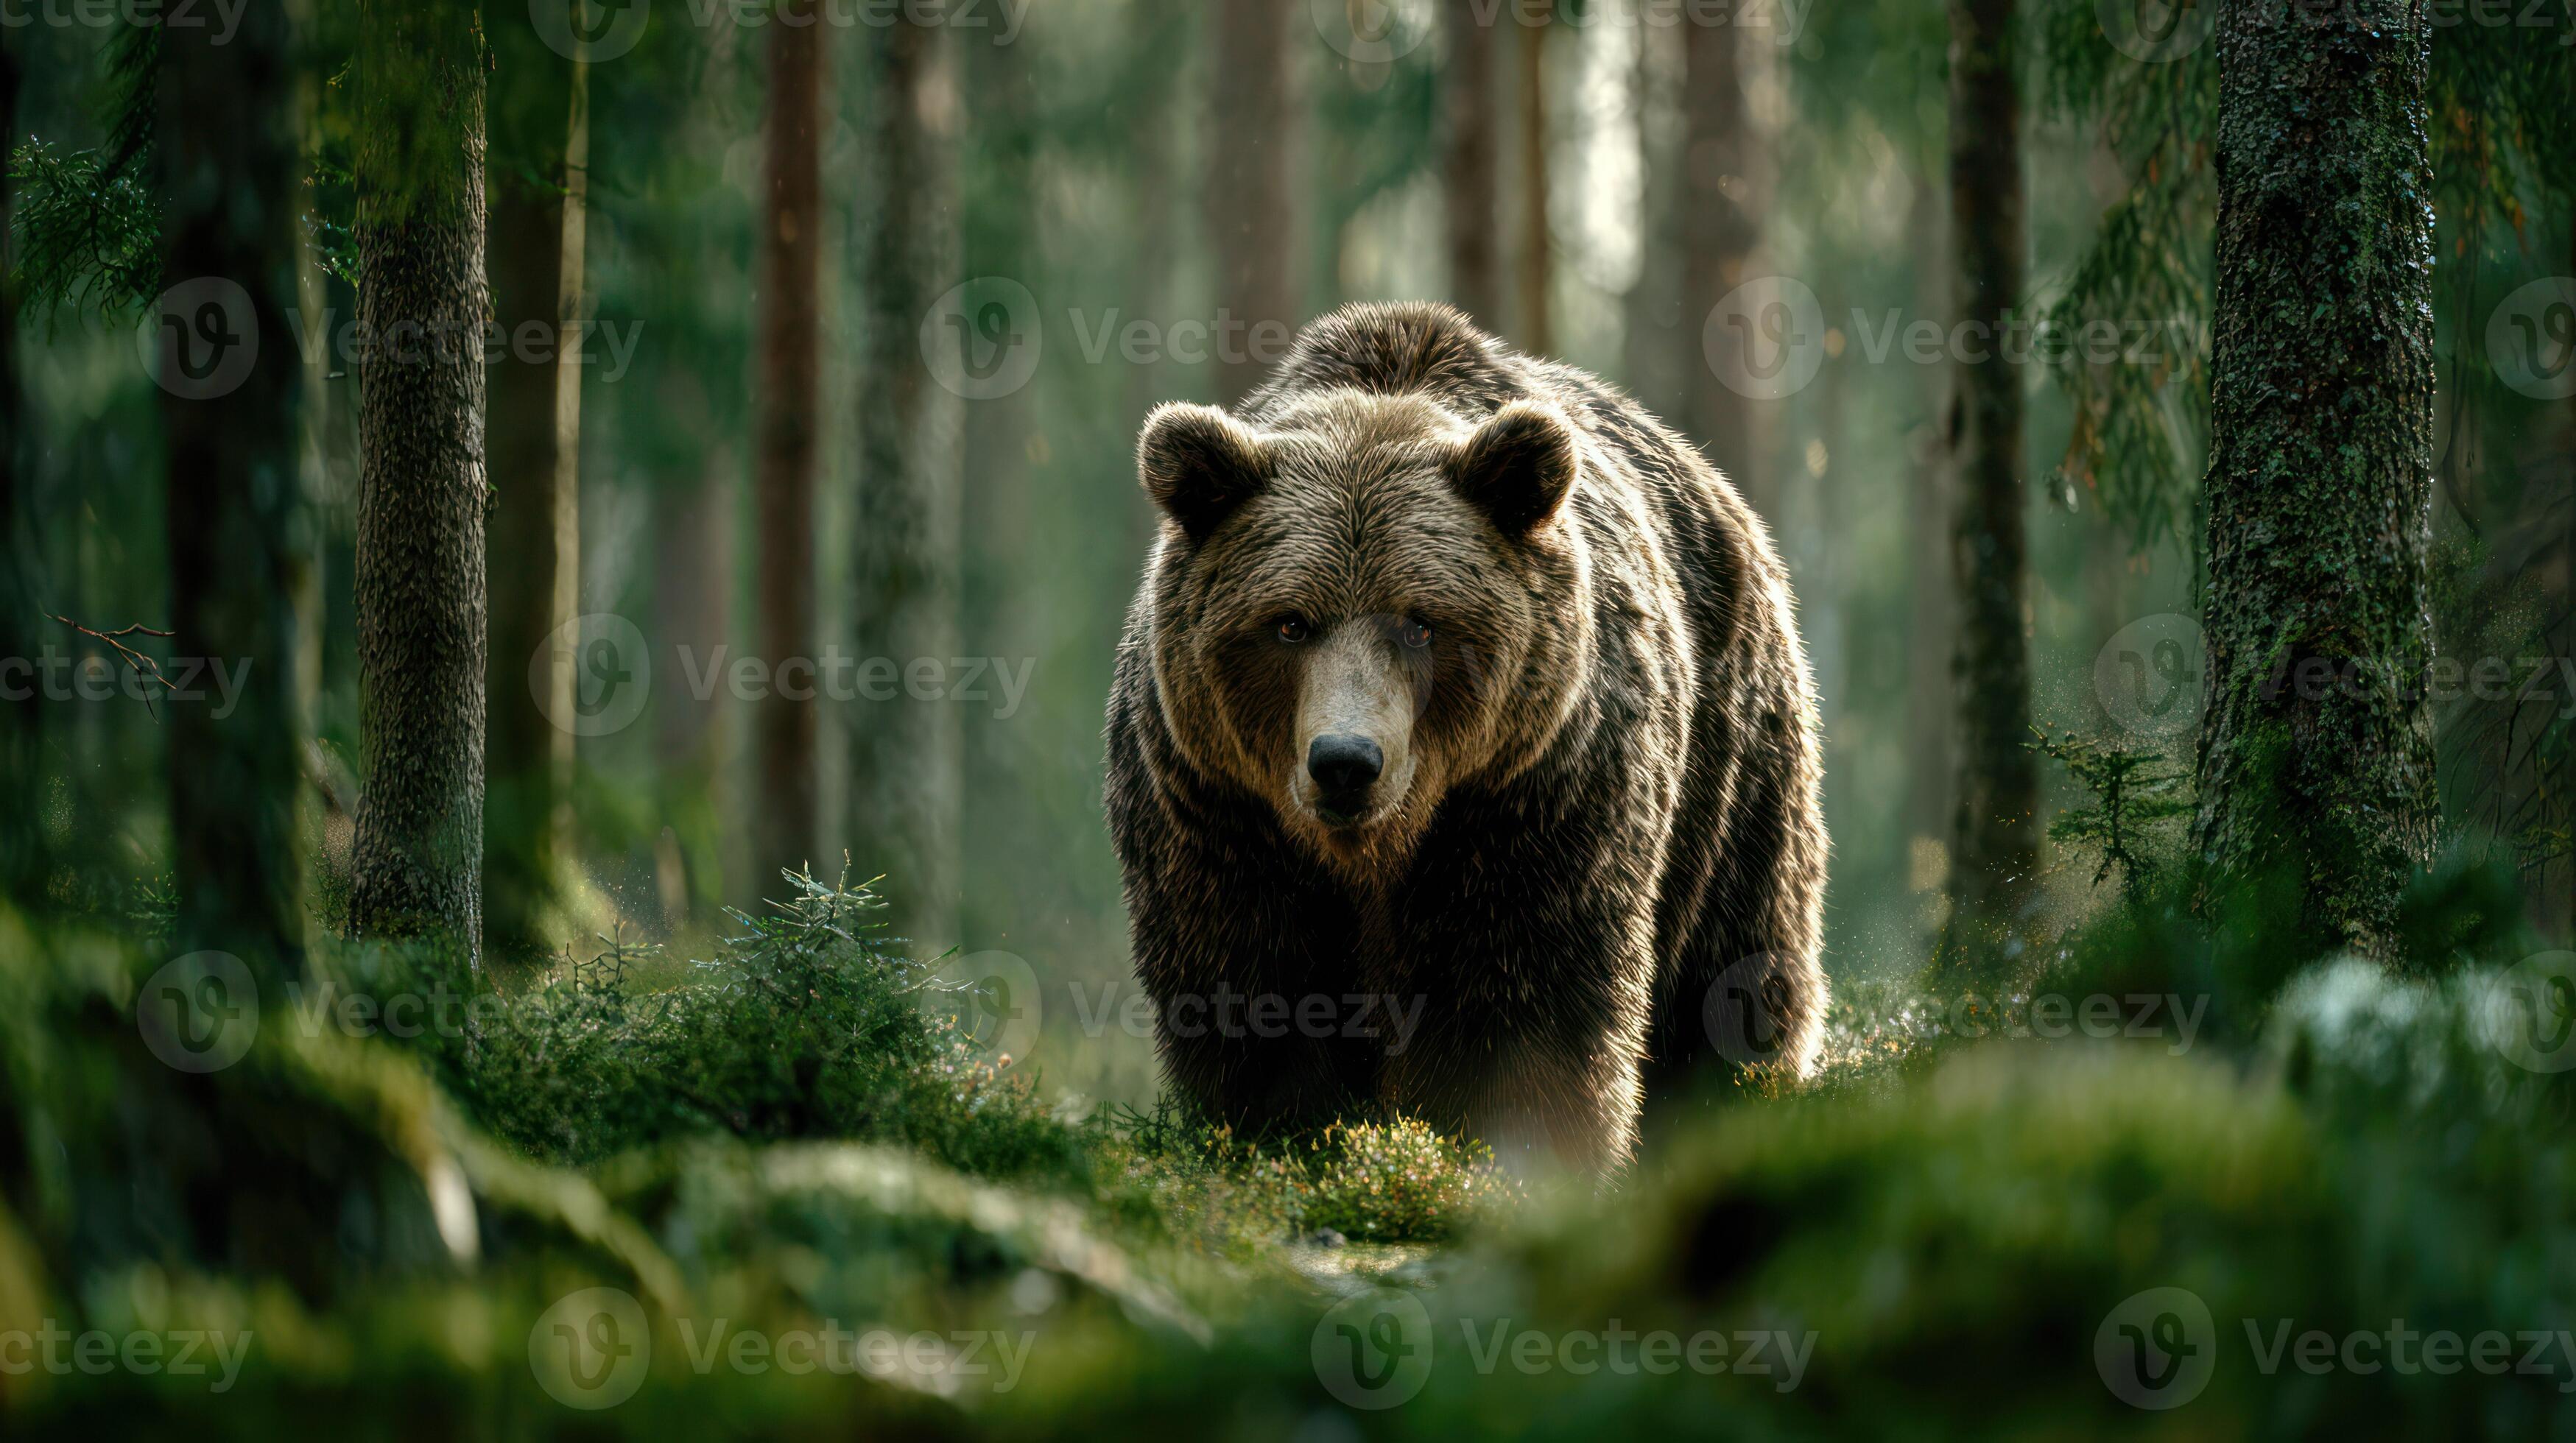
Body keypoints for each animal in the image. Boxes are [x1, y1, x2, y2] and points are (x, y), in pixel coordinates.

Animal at [1103, 302, 1825, 1175]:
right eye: (1289, 623)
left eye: (1422, 621)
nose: (1345, 762)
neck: (1377, 851)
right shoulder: (1215, 806)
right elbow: (1251, 988)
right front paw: (1281, 1132)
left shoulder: (1538, 793)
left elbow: (1526, 998)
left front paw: (1516, 1142)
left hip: (1734, 775)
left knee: (1734, 974)